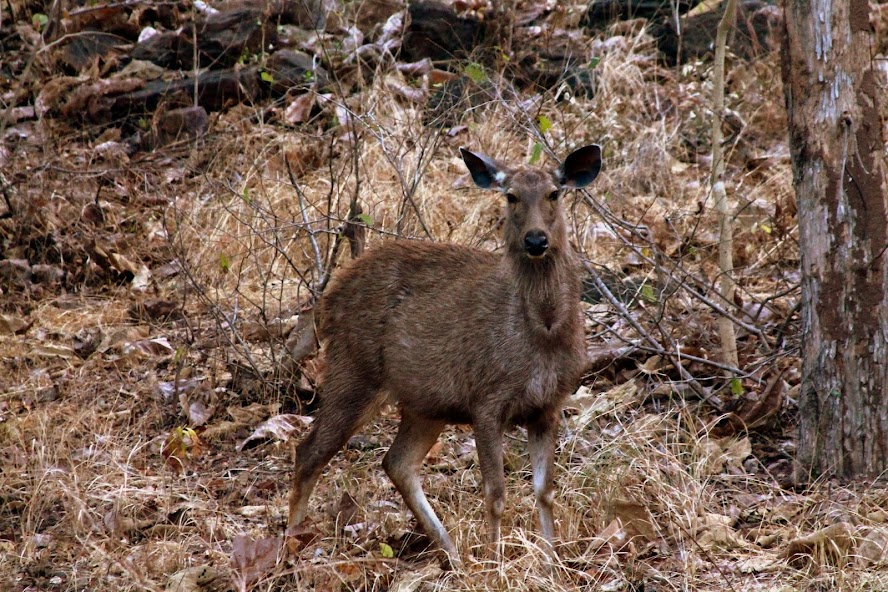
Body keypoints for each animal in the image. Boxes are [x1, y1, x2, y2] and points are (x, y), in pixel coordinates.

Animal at [288, 142, 600, 564]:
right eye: (510, 196)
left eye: (555, 193)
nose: (536, 240)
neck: (542, 335)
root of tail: (330, 294)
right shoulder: (486, 400)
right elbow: (495, 495)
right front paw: (495, 563)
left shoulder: (549, 406)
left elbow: (545, 491)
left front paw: (552, 562)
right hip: (354, 369)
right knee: (310, 452)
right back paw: (288, 549)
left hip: (424, 404)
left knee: (396, 462)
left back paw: (452, 555)